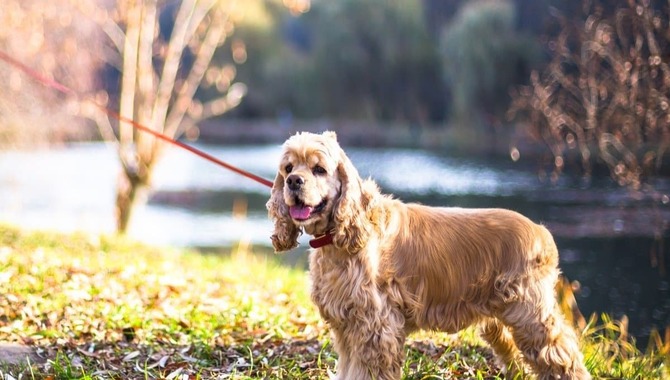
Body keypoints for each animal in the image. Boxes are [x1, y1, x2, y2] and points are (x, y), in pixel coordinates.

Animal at [266, 131, 592, 380]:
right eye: (288, 168)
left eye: (319, 169)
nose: (294, 182)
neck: (339, 239)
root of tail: (541, 232)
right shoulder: (347, 327)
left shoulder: (376, 328)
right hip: (500, 323)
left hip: (531, 316)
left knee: (564, 357)